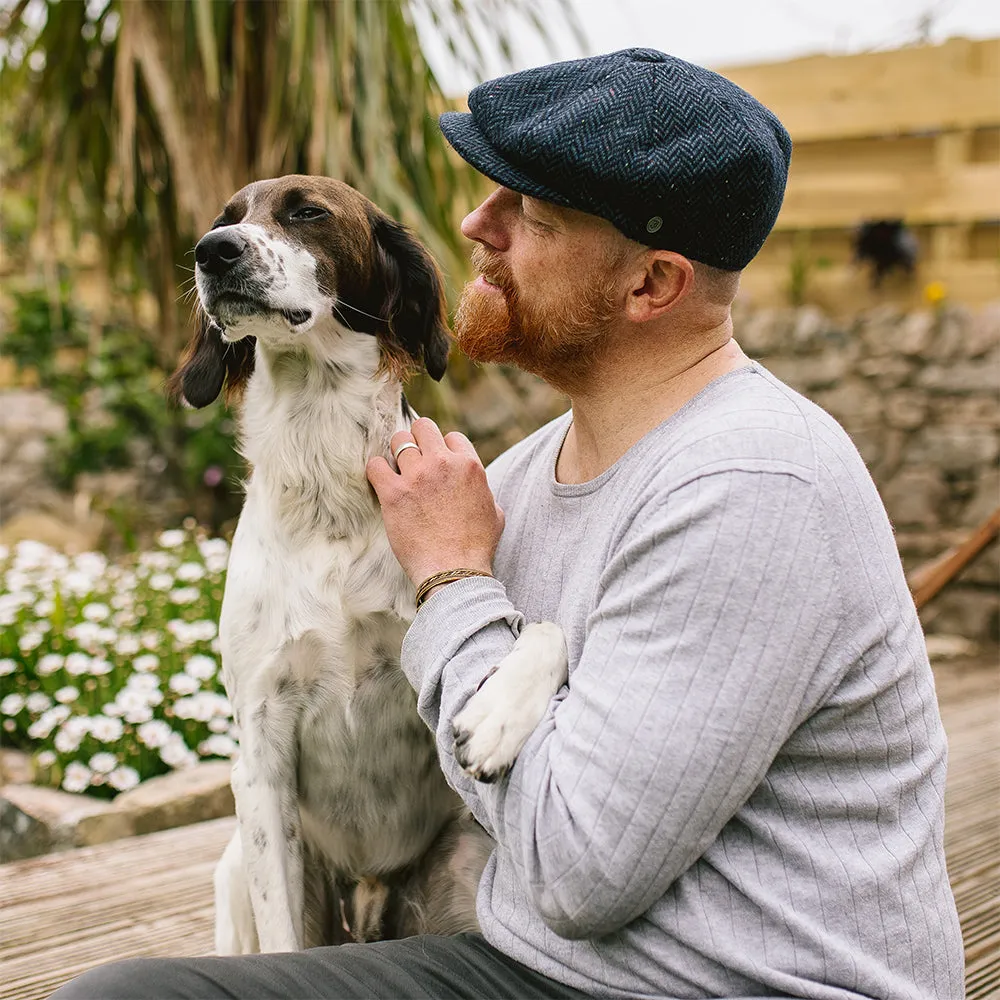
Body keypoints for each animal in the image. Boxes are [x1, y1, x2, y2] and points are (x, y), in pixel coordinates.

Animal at [168, 178, 568, 952]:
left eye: (307, 212)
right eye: (225, 219)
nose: (211, 252)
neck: (326, 484)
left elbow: (545, 627)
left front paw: (497, 715)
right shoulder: (260, 755)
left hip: (464, 858)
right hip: (238, 869)